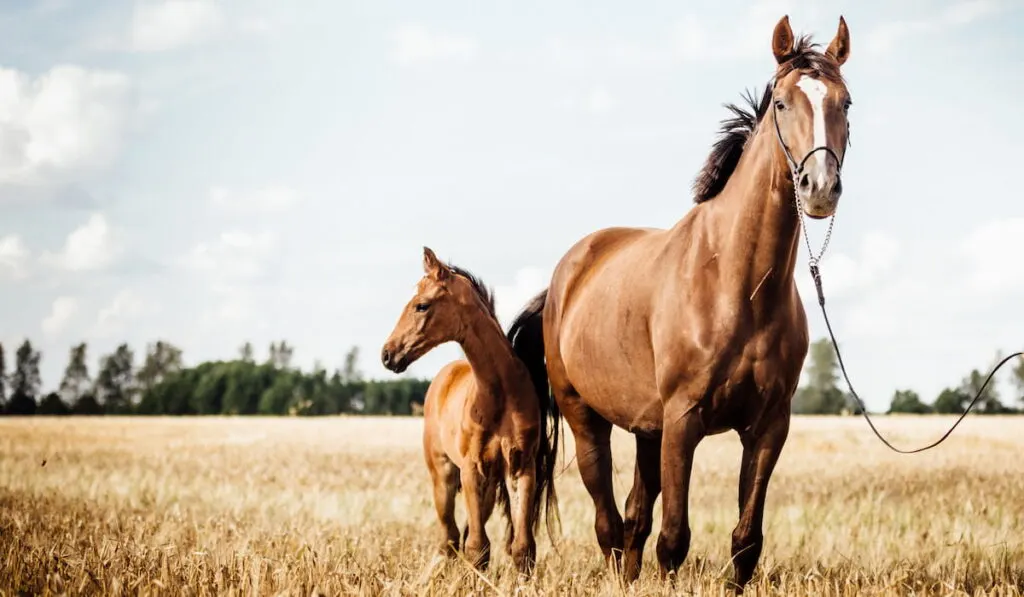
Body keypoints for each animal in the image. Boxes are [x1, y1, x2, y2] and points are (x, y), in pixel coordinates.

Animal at [382, 246, 561, 573]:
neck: (499, 395)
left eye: (421, 305)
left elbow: (521, 548)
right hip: (443, 475)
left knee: (462, 535)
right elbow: (477, 548)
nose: (387, 354)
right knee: (450, 537)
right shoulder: (471, 469)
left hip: (488, 487)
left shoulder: (520, 468)